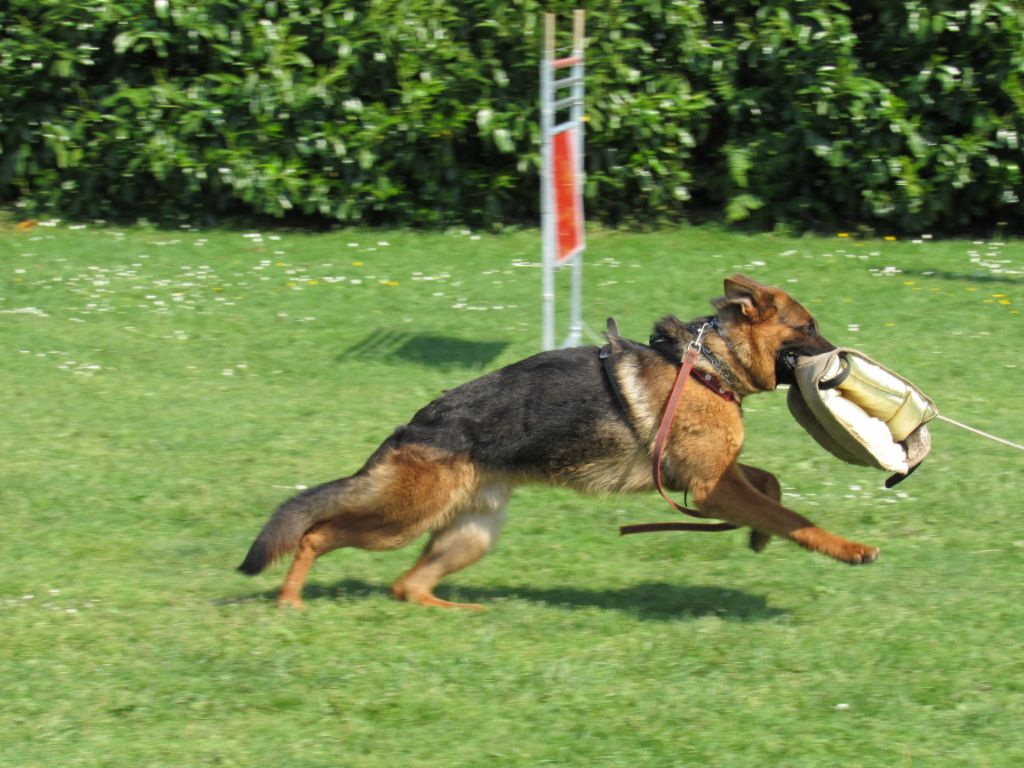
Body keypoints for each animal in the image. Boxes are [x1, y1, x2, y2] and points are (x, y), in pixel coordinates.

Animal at [239, 274, 880, 610]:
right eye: (807, 327)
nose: (843, 359)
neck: (708, 364)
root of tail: (414, 425)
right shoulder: (710, 487)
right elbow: (792, 516)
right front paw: (848, 548)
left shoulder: (716, 479)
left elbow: (771, 488)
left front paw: (757, 537)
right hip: (402, 517)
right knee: (318, 535)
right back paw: (290, 600)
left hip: (469, 534)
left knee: (407, 585)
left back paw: (463, 611)